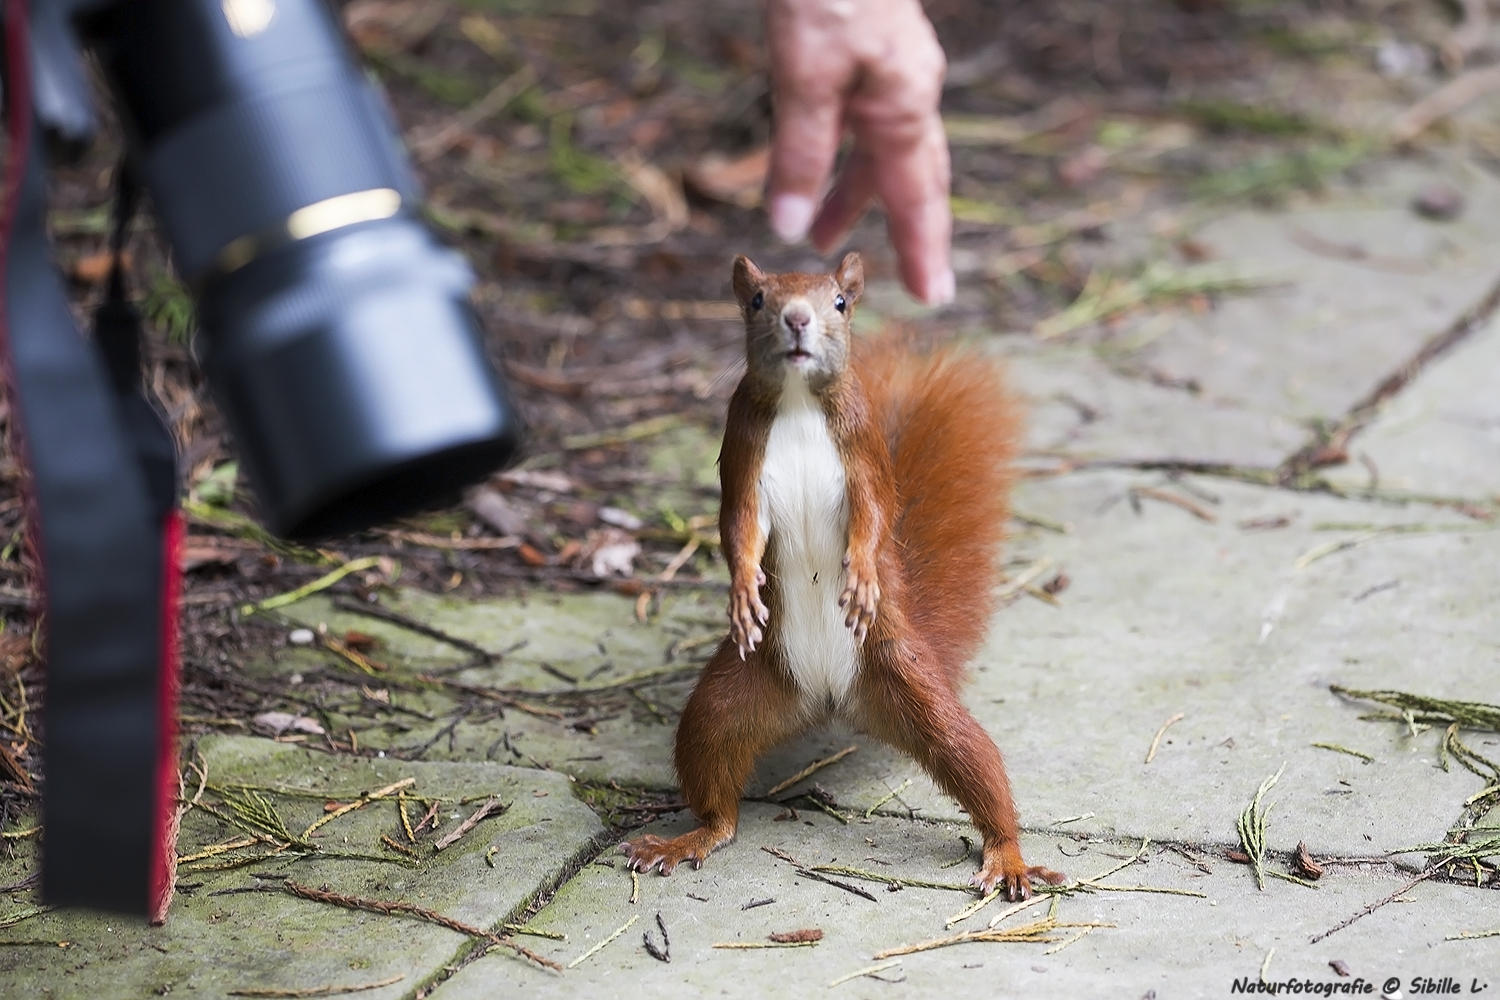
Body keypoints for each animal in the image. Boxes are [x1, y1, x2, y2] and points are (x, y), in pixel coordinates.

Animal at [624, 250, 1068, 899]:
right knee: (716, 784)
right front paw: (742, 590)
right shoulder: (743, 459)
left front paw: (859, 574)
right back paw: (692, 837)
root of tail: (832, 698)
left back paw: (1007, 854)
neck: (798, 403)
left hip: (908, 681)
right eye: (757, 300)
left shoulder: (862, 449)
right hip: (729, 703)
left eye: (839, 301)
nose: (798, 318)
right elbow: (739, 528)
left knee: (971, 758)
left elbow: (875, 516)